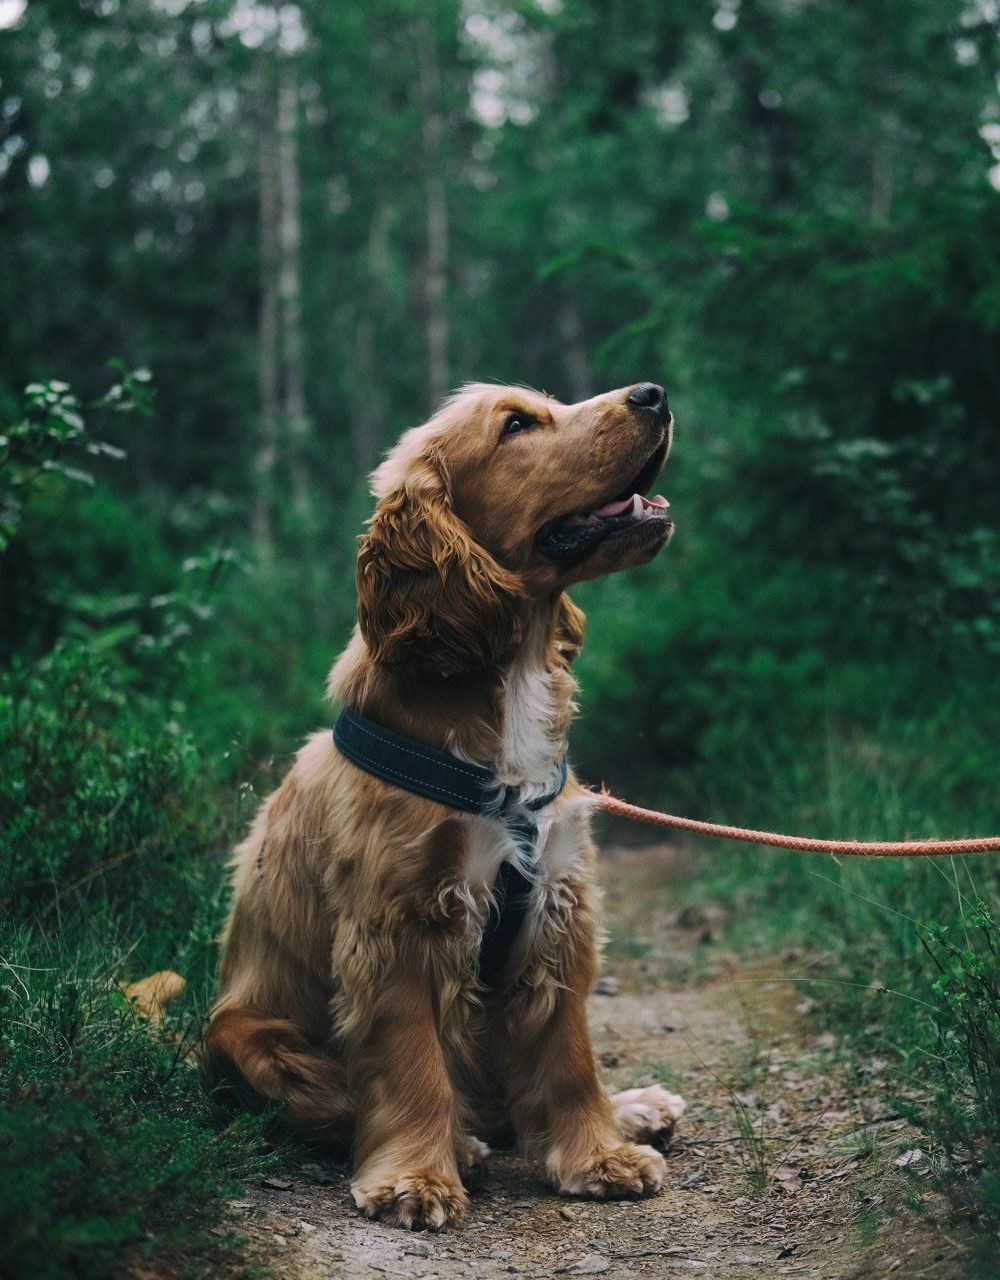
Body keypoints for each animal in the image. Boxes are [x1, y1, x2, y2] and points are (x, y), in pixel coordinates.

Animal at [202, 378, 686, 1228]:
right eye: (517, 425)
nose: (654, 393)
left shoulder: (558, 904)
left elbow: (569, 1054)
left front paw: (599, 1154)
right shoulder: (399, 923)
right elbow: (411, 1062)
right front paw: (416, 1178)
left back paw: (631, 1108)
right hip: (244, 1036)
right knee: (348, 1101)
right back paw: (462, 1142)